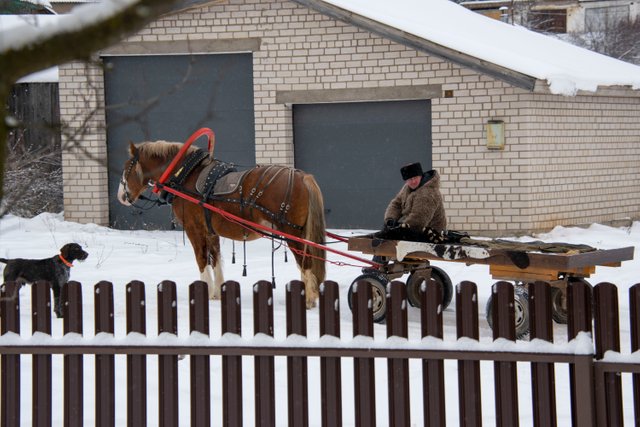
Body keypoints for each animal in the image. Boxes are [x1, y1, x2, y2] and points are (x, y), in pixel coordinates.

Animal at [117, 140, 326, 308]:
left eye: (127, 167)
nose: (121, 197)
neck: (185, 175)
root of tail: (302, 176)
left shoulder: (194, 230)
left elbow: (202, 260)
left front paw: (206, 292)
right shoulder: (211, 232)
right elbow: (215, 259)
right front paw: (217, 292)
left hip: (293, 233)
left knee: (306, 262)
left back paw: (308, 299)